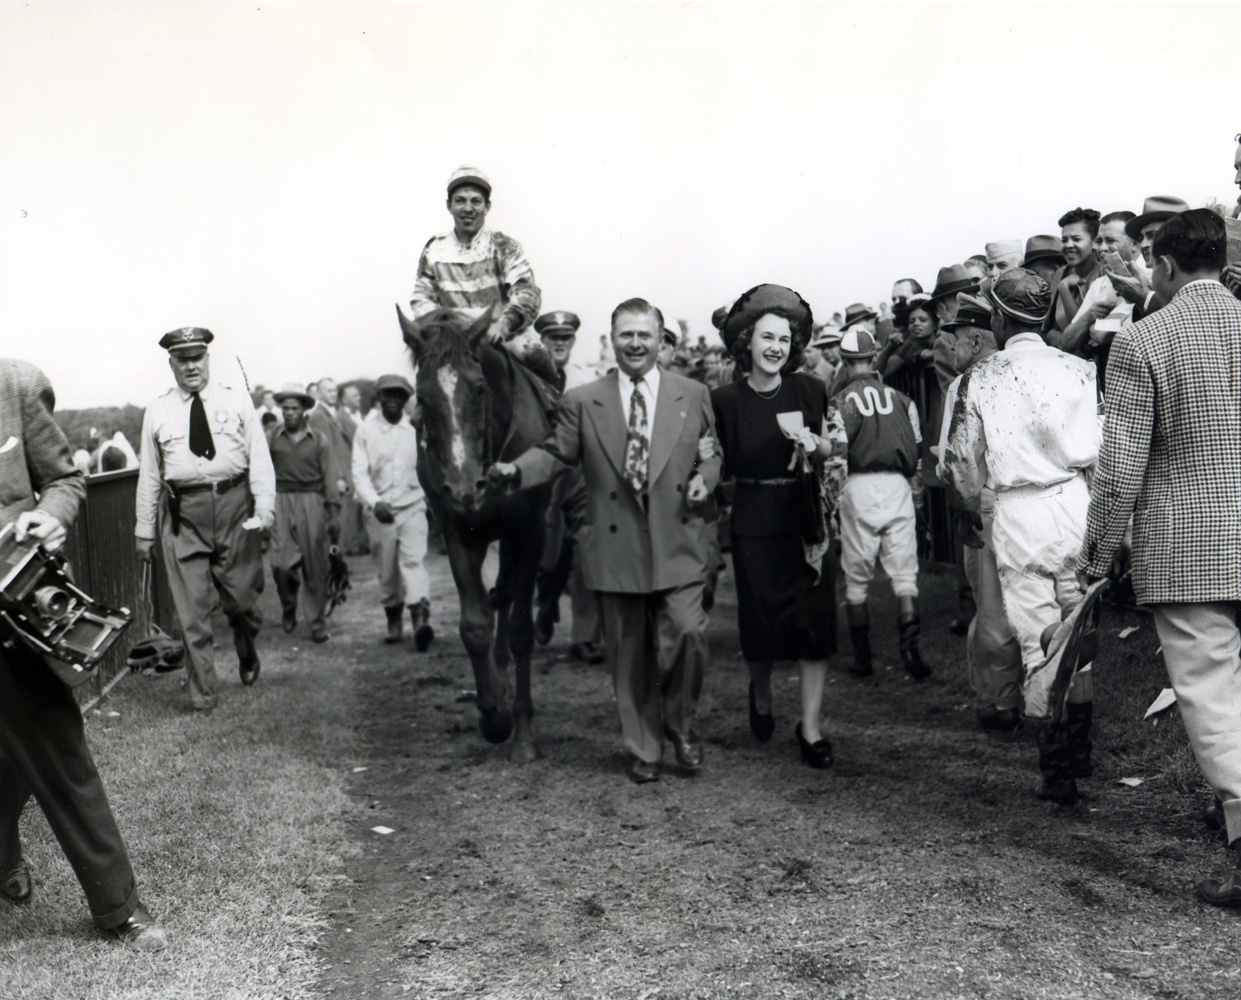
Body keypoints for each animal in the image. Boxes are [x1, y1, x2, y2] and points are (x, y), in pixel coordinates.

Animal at [397, 305, 553, 769]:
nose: (466, 487)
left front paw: (522, 734)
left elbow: (519, 629)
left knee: (506, 596)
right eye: (422, 398)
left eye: (480, 388)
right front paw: (493, 716)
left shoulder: (530, 531)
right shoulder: (458, 532)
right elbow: (475, 626)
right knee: (493, 599)